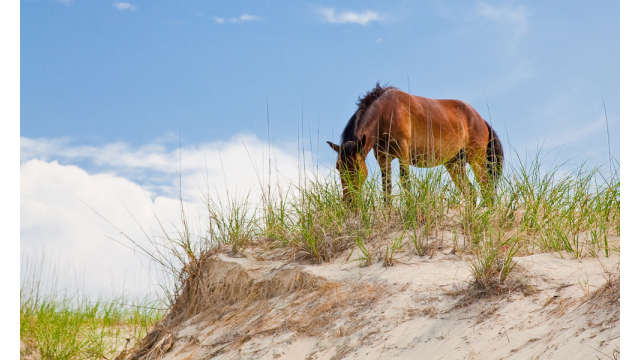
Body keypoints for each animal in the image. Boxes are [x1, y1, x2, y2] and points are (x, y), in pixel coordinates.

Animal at [330, 82, 504, 204]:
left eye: (356, 168)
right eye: (338, 167)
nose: (349, 201)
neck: (385, 112)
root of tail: (481, 120)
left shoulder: (403, 152)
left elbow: (405, 181)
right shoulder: (383, 158)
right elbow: (387, 187)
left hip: (476, 160)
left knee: (486, 188)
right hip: (455, 164)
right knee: (471, 192)